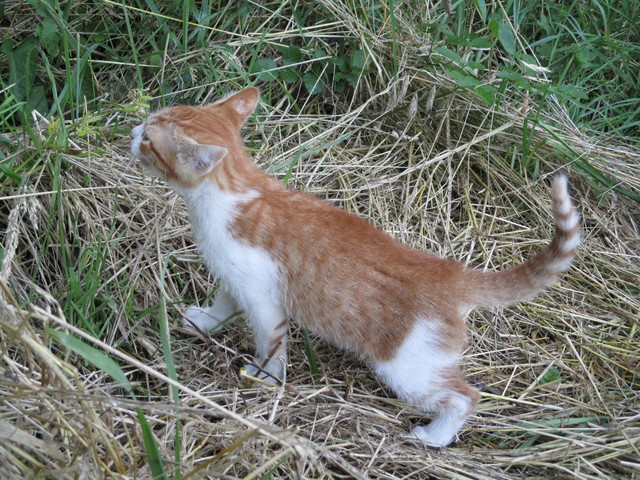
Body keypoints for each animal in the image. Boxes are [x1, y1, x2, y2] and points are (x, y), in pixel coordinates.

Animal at [130, 88, 580, 448]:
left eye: (149, 139)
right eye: (147, 125)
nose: (132, 130)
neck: (234, 191)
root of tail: (448, 272)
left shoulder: (264, 301)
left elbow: (271, 344)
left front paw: (265, 378)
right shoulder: (234, 278)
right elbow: (223, 305)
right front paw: (204, 321)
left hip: (408, 368)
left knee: (465, 396)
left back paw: (433, 437)